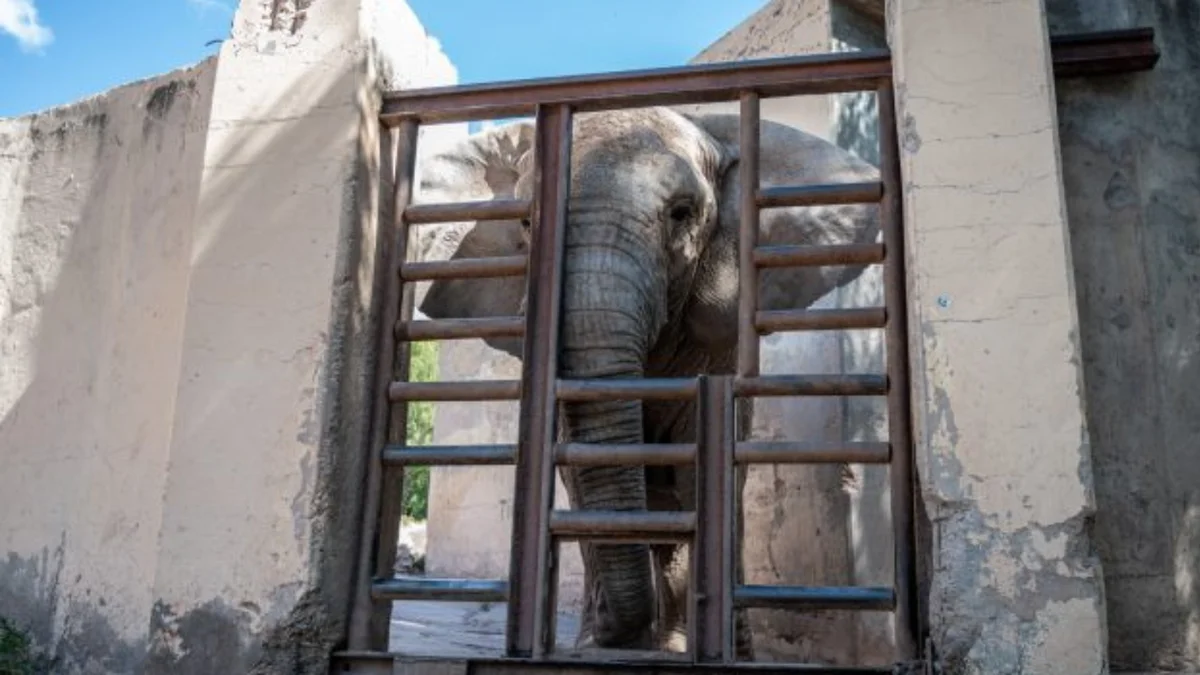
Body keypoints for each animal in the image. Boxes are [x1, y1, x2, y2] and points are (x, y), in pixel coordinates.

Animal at [410, 106, 881, 657]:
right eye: (527, 223)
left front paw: (688, 646)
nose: (609, 624)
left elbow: (698, 467)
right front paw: (601, 644)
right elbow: (578, 469)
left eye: (682, 213)